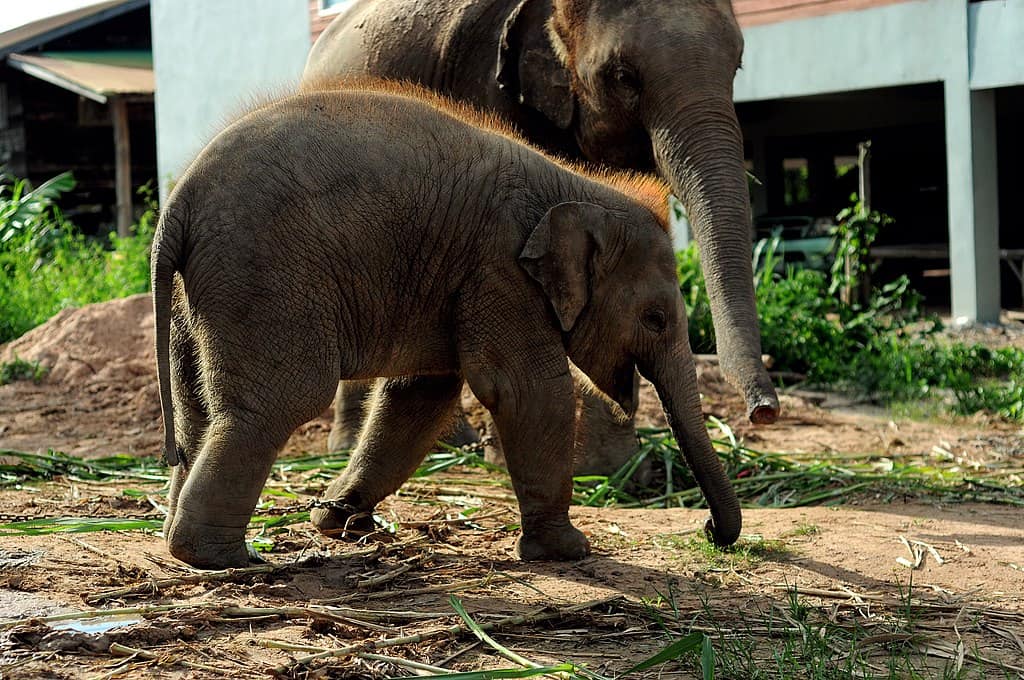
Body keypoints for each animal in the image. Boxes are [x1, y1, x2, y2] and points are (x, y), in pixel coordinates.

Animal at [151, 79, 741, 569]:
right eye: (655, 319)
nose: (710, 531)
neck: (576, 187)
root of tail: (178, 205)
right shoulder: (501, 271)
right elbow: (526, 391)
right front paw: (569, 551)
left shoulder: (462, 282)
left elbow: (420, 395)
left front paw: (341, 522)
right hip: (264, 280)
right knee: (277, 402)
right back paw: (224, 559)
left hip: (201, 296)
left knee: (196, 406)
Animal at [301, 0, 774, 462]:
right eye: (623, 76)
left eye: (737, 66)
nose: (764, 412)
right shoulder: (488, 81)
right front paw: (514, 460)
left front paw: (612, 471)